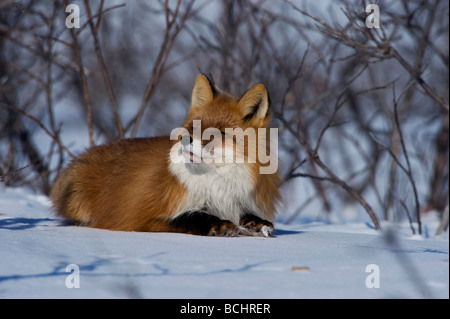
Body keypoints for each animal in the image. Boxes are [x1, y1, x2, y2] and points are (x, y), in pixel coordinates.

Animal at [50, 75, 282, 238]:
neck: (215, 186)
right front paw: (215, 223)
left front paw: (257, 223)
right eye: (192, 127)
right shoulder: (143, 219)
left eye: (218, 132)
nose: (186, 139)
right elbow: (188, 216)